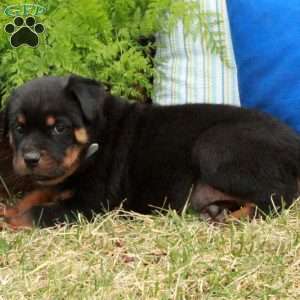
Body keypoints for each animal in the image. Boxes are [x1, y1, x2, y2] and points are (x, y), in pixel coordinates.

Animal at [0, 76, 300, 229]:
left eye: (59, 128)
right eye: (18, 128)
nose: (30, 159)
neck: (95, 141)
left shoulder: (90, 204)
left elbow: (39, 211)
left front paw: (9, 219)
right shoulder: (59, 181)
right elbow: (34, 195)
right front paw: (10, 208)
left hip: (213, 148)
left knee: (279, 196)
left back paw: (232, 219)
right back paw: (218, 211)